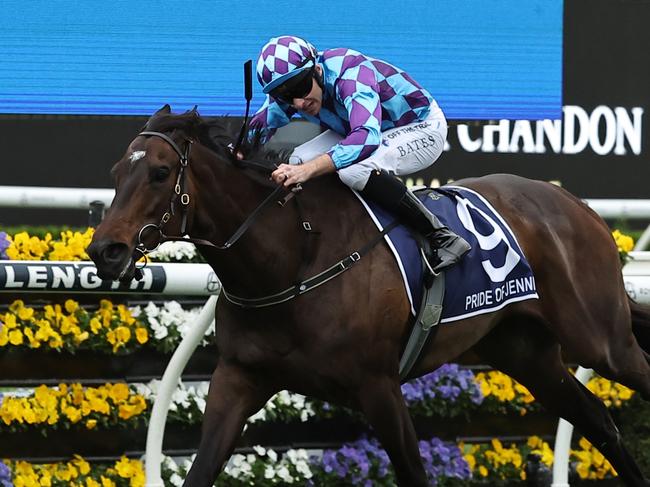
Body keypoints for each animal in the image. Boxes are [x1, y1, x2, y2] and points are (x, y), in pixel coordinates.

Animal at [87, 105, 650, 486]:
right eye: (115, 173)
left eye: (161, 173)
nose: (105, 250)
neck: (294, 257)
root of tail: (574, 203)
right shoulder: (238, 378)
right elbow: (201, 470)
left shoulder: (378, 386)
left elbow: (414, 473)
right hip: (524, 352)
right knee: (599, 421)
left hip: (601, 340)